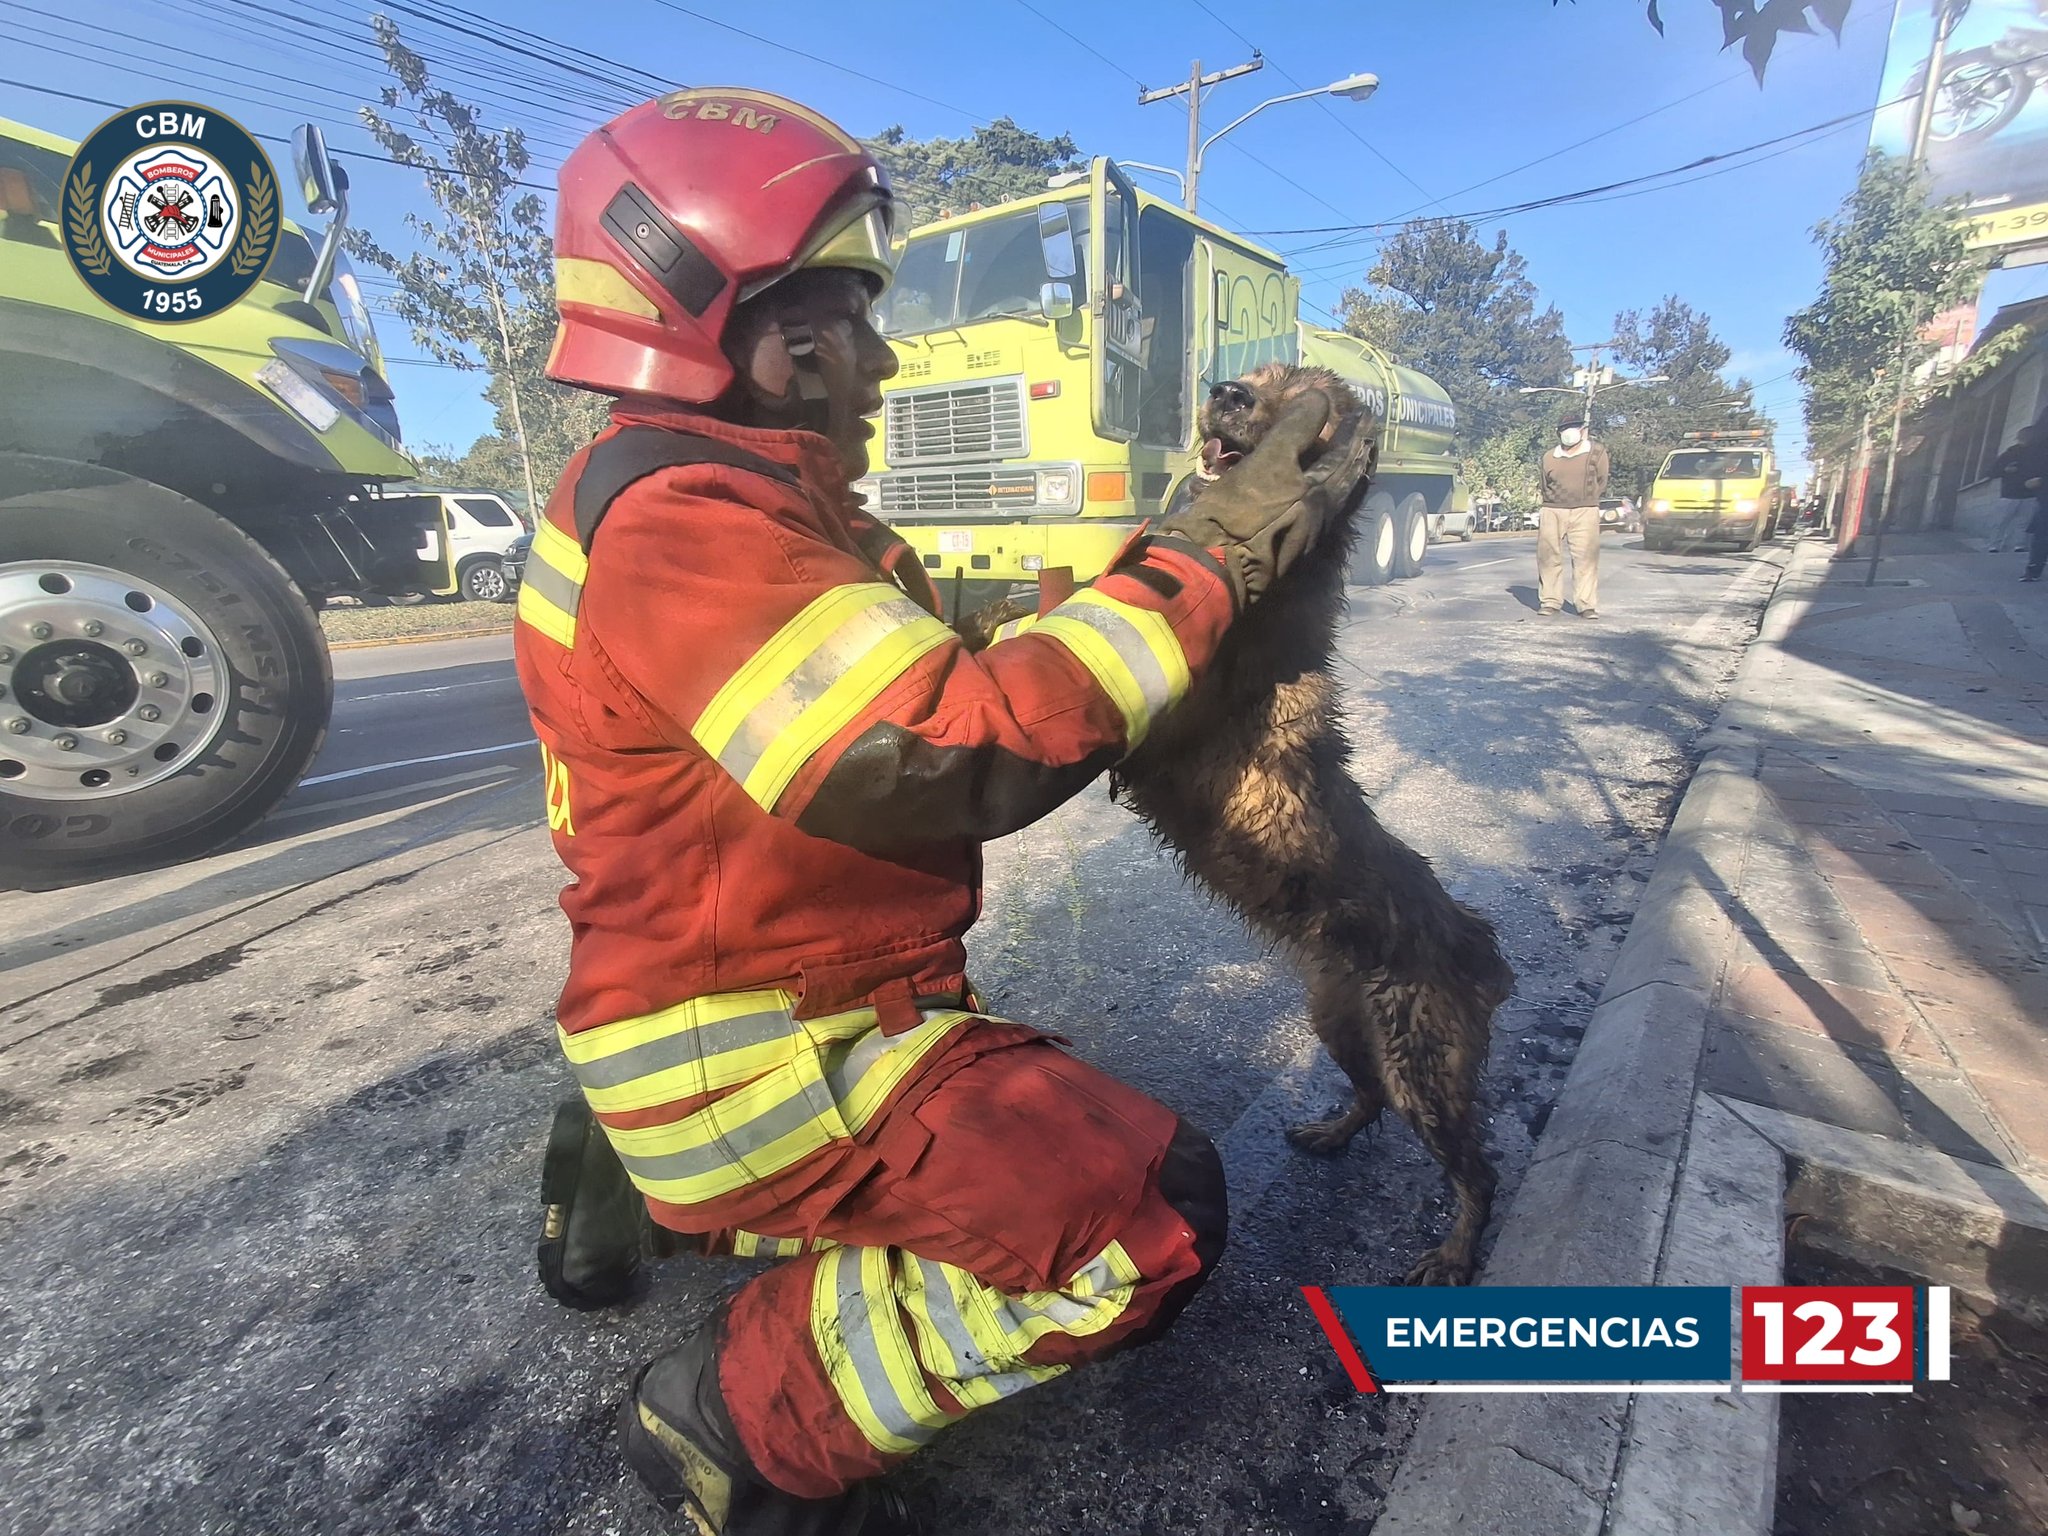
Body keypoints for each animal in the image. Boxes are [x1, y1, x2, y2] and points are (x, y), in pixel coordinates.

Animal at [966, 366, 1515, 1277]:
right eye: (1257, 380)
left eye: (1305, 396)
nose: (1224, 391)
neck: (1278, 583)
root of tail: (1481, 942)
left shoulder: (1148, 714)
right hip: (1342, 1020)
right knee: (1369, 1096)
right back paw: (1331, 1132)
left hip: (1424, 1063)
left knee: (1479, 1169)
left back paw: (1456, 1251)